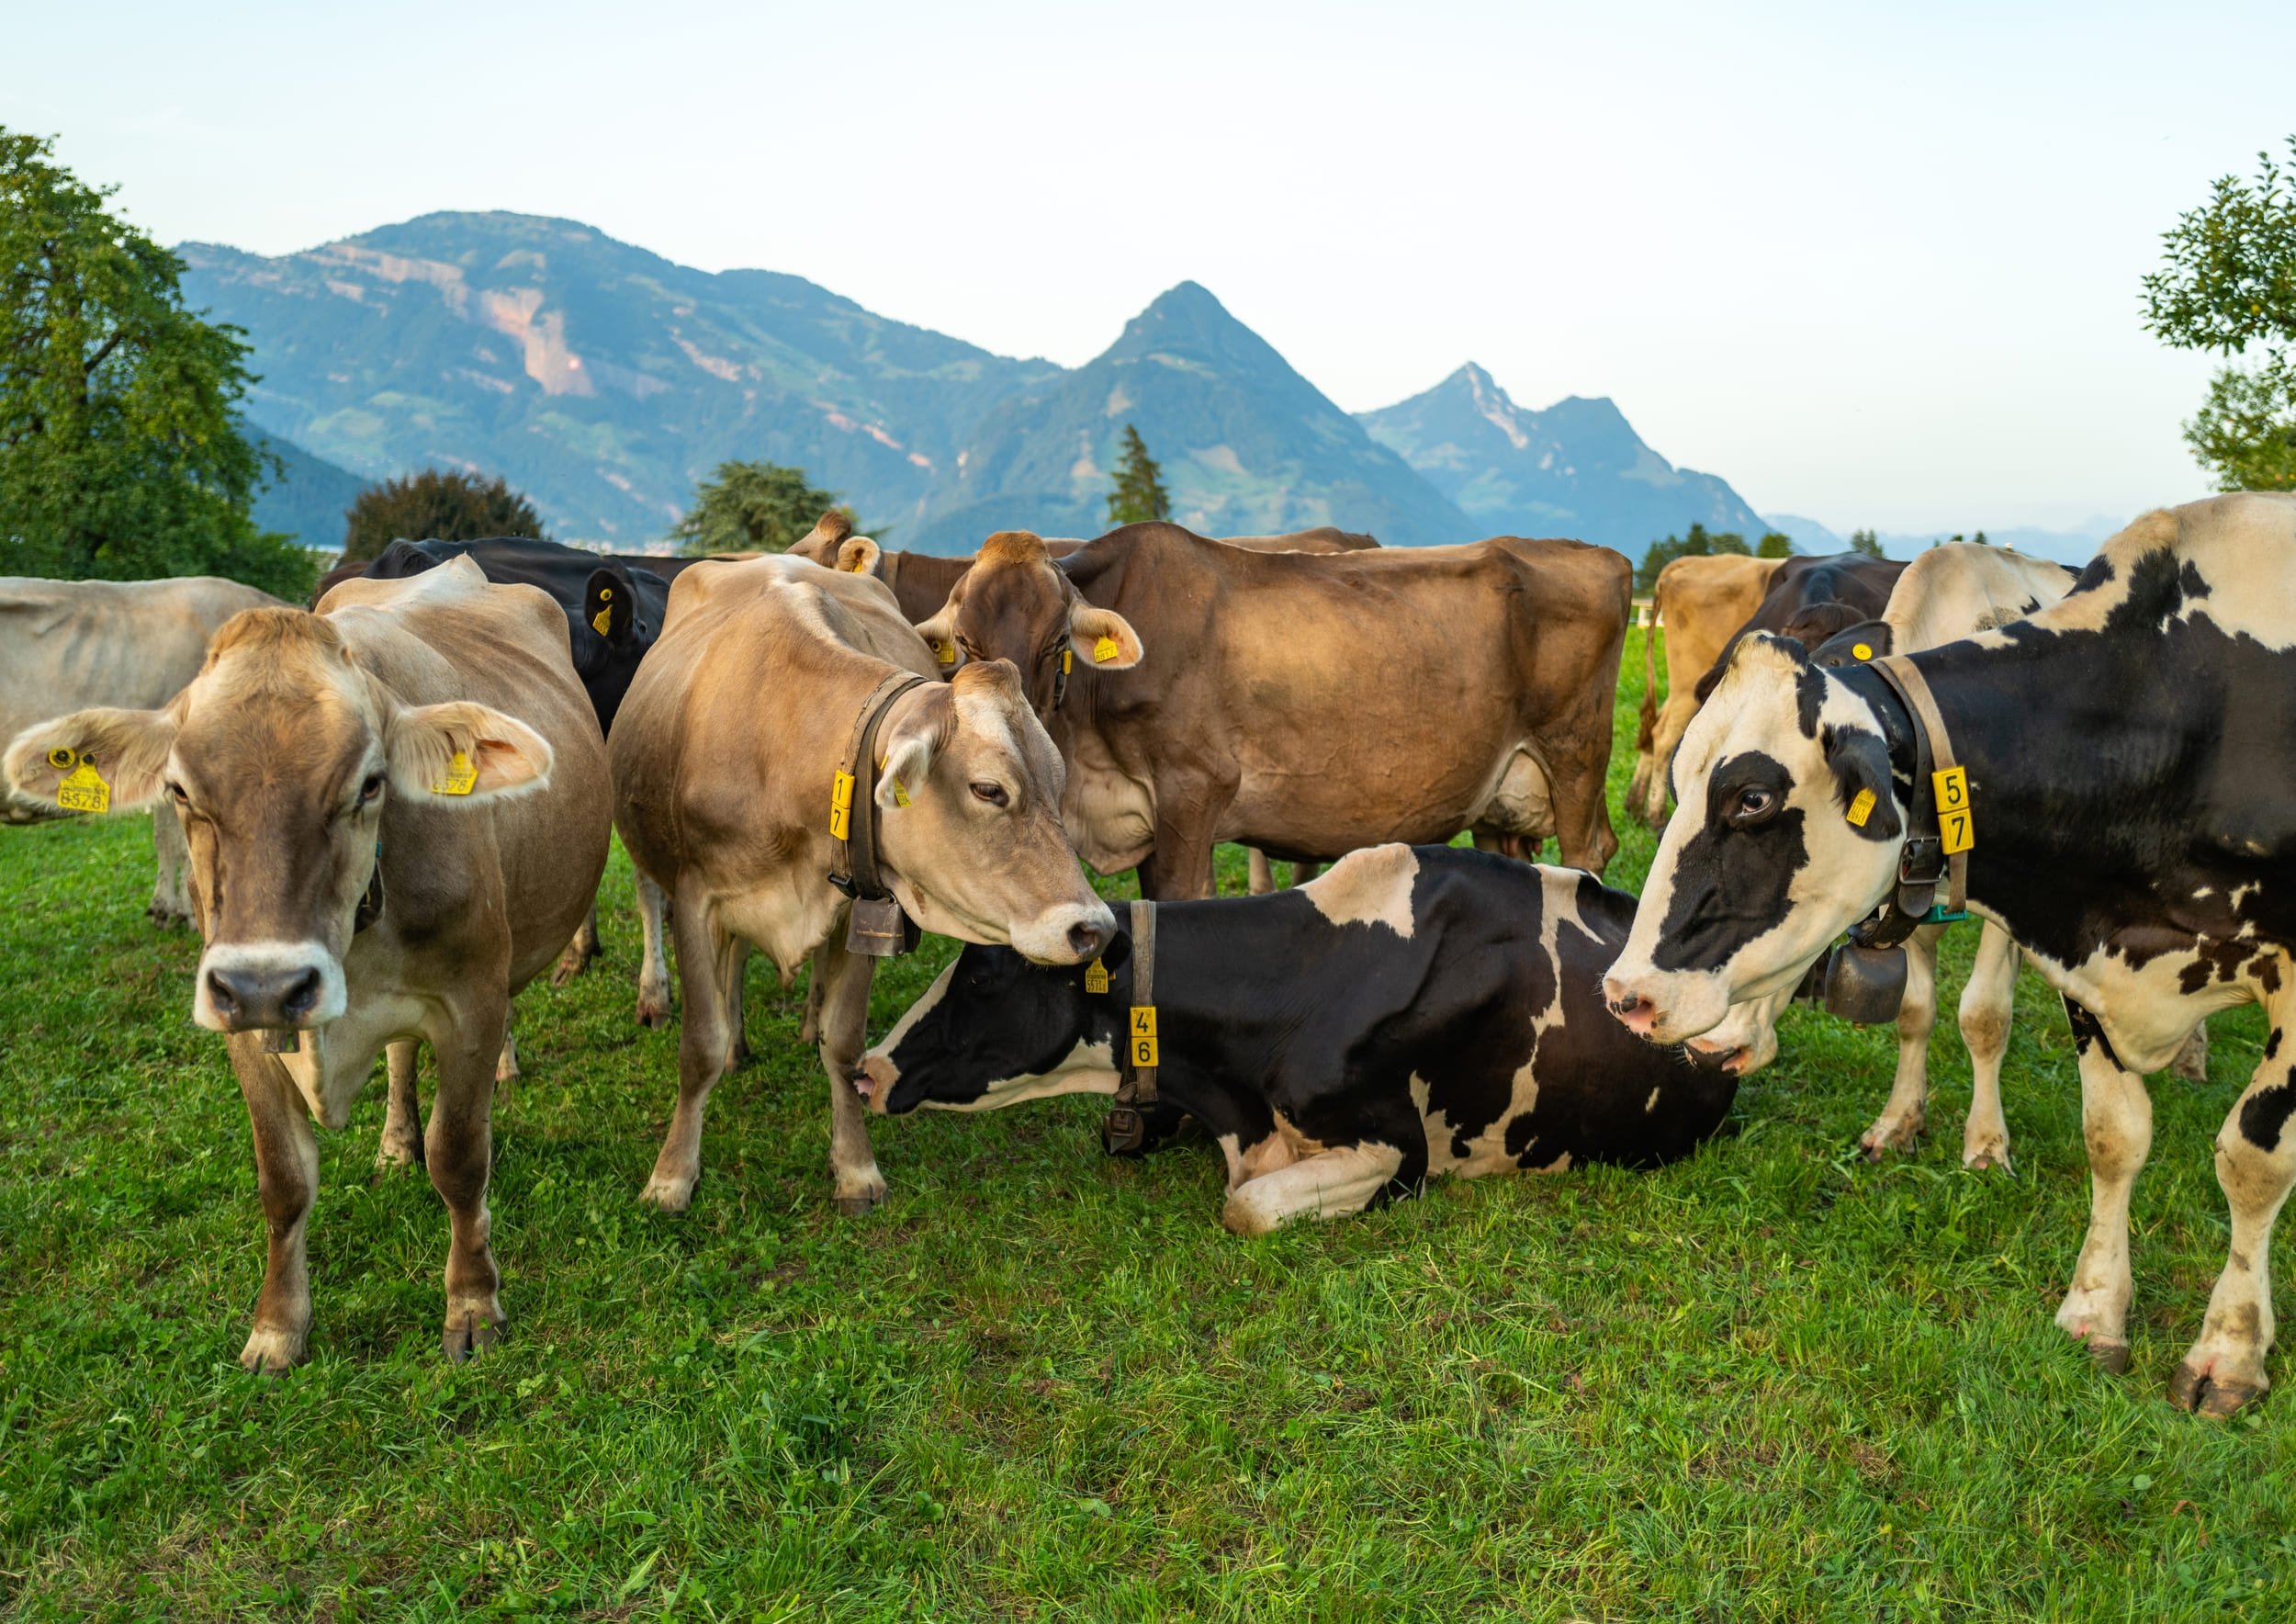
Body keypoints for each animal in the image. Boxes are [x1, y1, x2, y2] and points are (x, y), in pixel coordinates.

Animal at [608, 553, 1115, 1216]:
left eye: (1058, 784)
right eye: (989, 789)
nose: (1095, 928)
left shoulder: (862, 907)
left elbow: (844, 1044)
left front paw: (854, 1167)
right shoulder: (697, 899)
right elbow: (699, 1047)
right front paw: (671, 1176)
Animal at [912, 524, 1629, 899]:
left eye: (1057, 641)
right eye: (967, 644)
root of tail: (1595, 551)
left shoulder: (1194, 790)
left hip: (1576, 755)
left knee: (1589, 851)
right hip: (1504, 799)